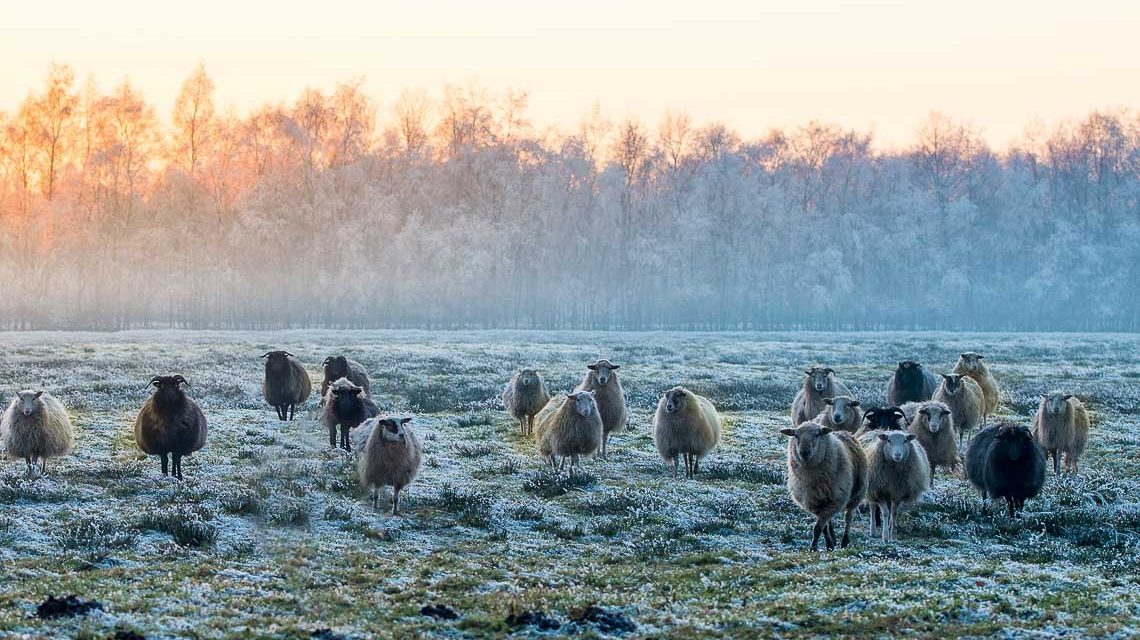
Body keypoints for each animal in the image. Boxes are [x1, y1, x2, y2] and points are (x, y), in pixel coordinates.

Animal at [780, 422, 867, 551]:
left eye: (817, 434)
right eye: (795, 435)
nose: (804, 452)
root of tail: (844, 432)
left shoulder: (835, 500)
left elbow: (818, 528)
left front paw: (813, 548)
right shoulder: (815, 503)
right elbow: (823, 527)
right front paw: (829, 544)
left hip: (857, 494)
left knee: (848, 517)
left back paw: (844, 541)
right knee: (830, 521)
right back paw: (834, 539)